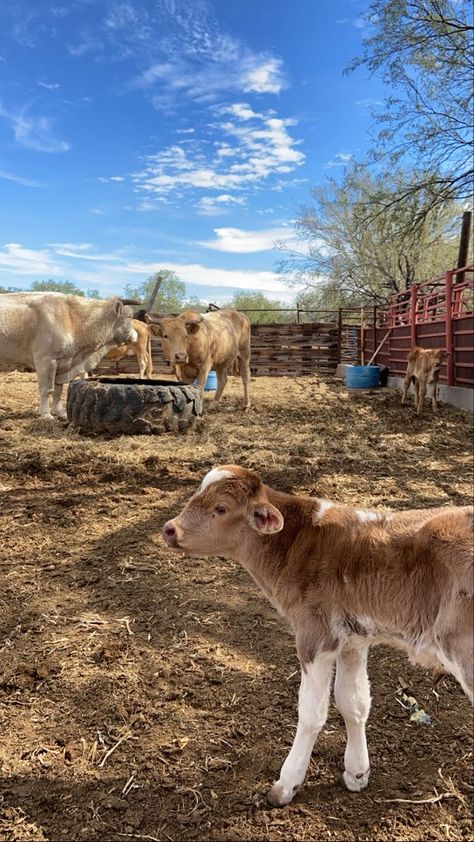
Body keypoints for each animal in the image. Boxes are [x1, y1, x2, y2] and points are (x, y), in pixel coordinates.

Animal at [0, 292, 137, 420]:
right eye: (129, 316)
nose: (136, 335)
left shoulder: (62, 363)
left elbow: (58, 391)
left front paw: (61, 412)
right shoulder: (46, 361)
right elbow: (47, 389)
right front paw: (46, 415)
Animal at [162, 470, 470, 804]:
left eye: (220, 508)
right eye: (196, 494)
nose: (170, 529)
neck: (299, 544)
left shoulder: (315, 636)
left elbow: (311, 713)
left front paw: (286, 784)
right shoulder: (353, 639)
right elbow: (354, 702)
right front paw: (356, 774)